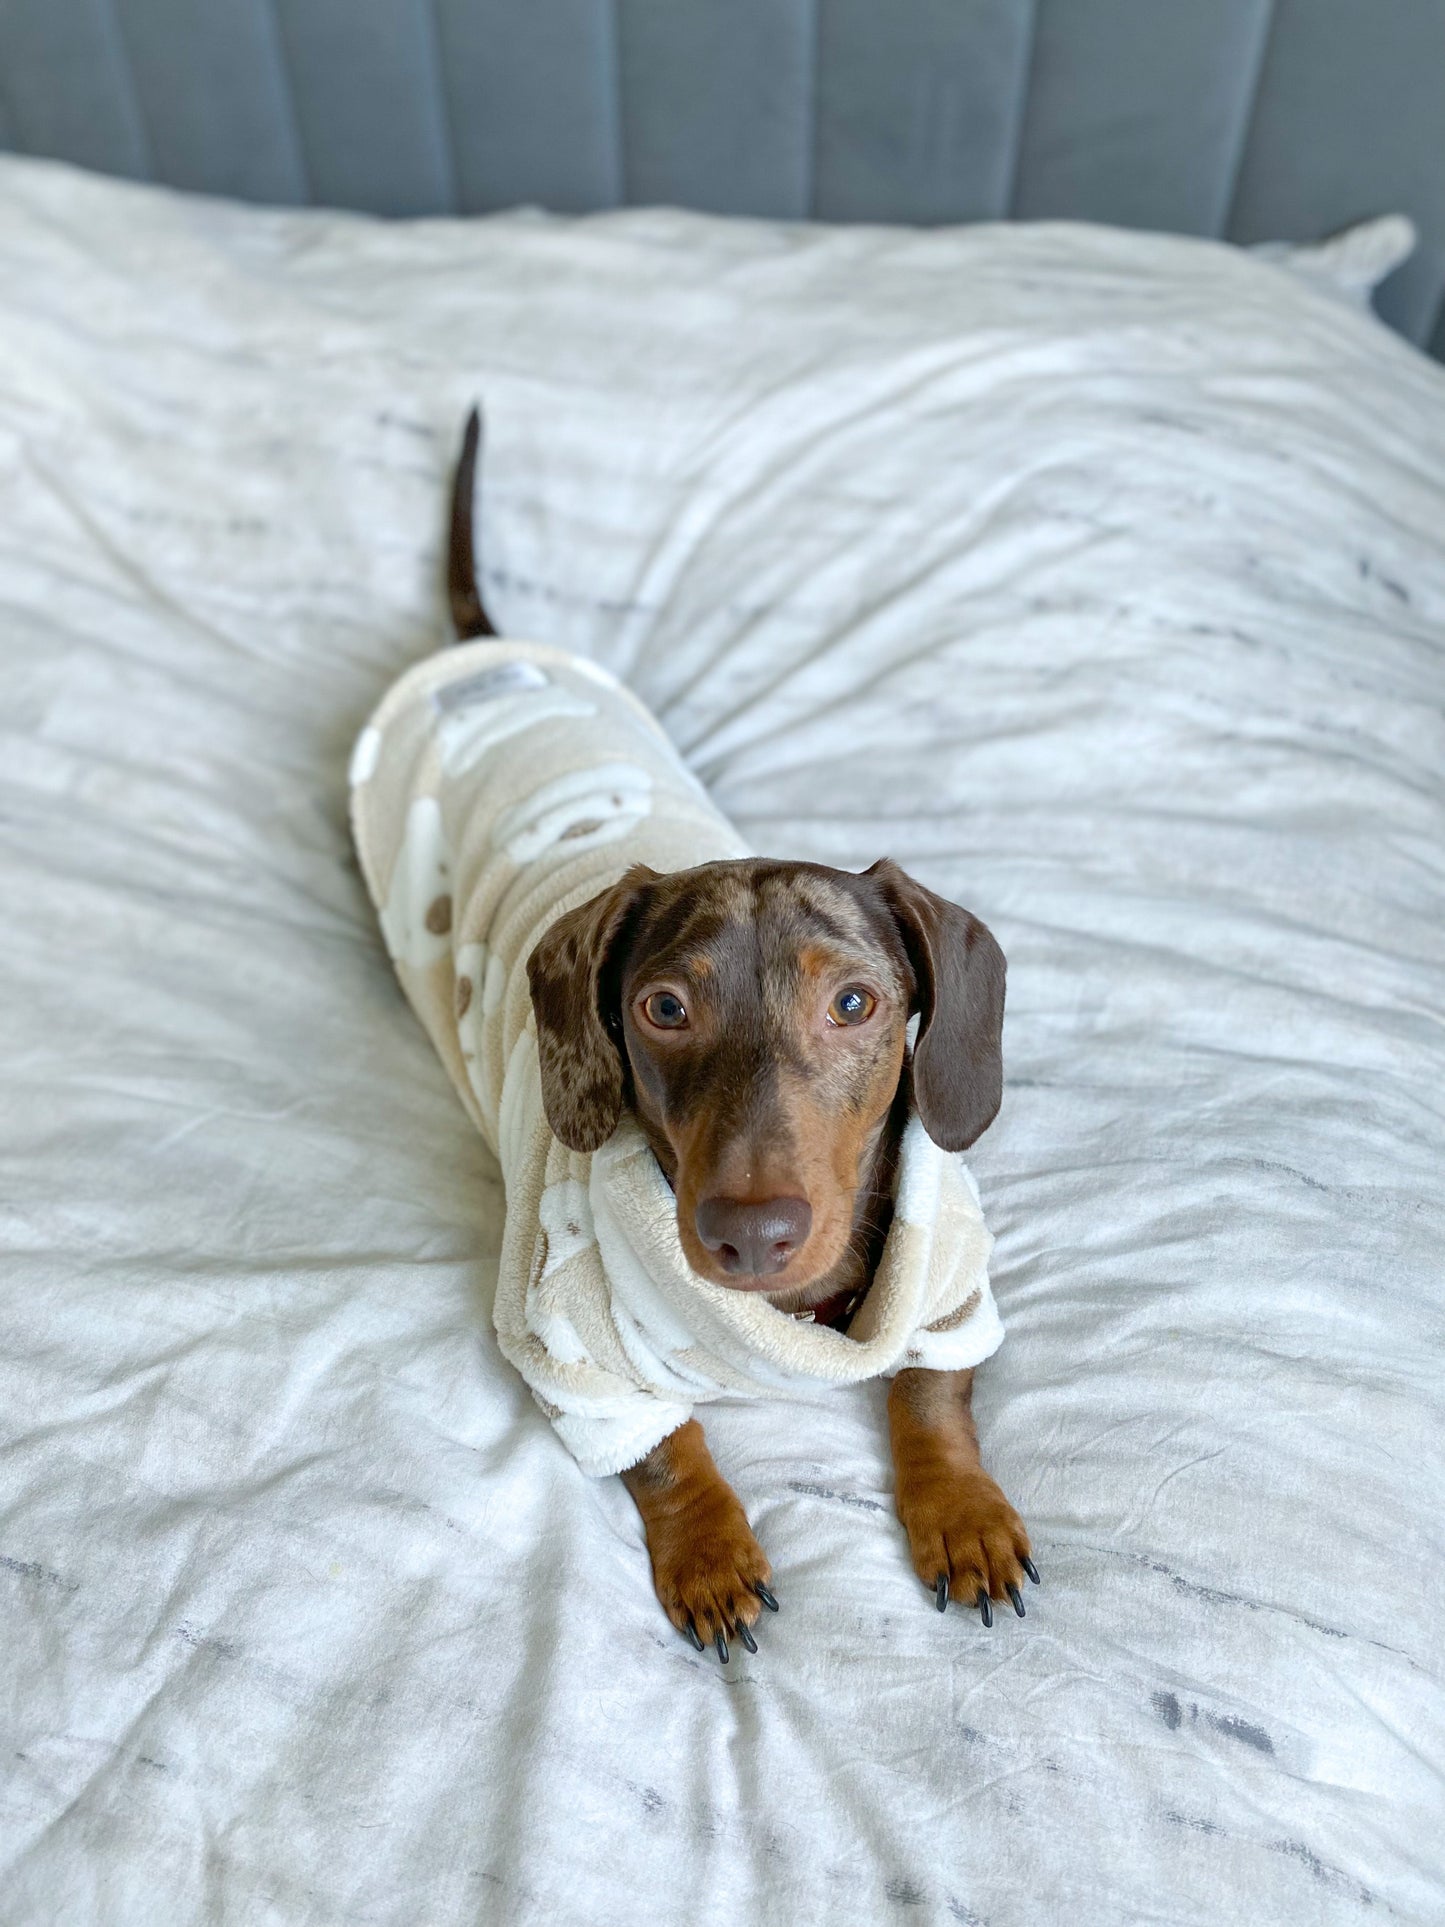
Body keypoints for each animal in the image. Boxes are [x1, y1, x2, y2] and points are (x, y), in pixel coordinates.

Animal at [446, 414, 1032, 1664]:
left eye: (853, 1004)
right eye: (663, 1007)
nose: (749, 1235)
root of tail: (484, 659)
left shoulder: (950, 1297)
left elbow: (929, 1391)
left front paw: (960, 1511)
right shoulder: (568, 1352)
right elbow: (665, 1448)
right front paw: (711, 1552)